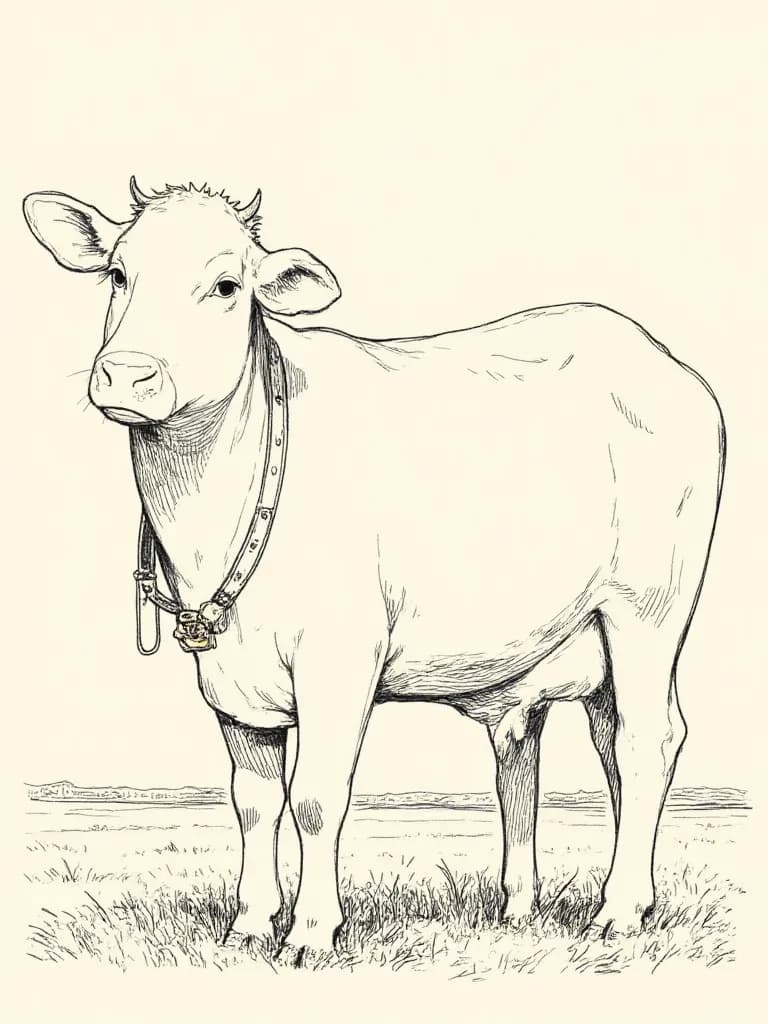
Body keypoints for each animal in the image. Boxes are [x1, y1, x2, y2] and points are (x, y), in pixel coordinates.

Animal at [23, 179, 725, 963]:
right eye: (118, 275)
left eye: (227, 285)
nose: (129, 375)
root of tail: (651, 352)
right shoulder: (231, 685)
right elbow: (254, 802)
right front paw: (249, 924)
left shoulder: (339, 658)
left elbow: (315, 798)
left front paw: (309, 932)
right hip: (584, 640)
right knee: (556, 754)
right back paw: (527, 908)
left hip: (648, 609)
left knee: (646, 741)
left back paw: (621, 910)